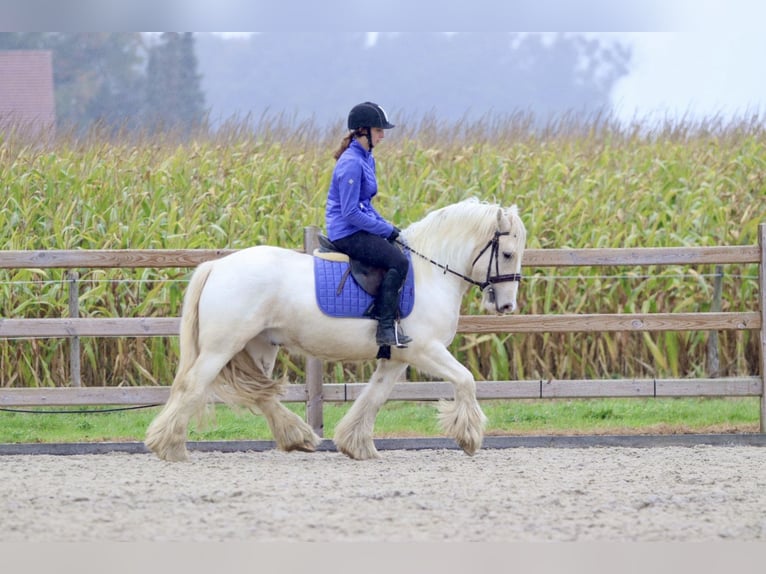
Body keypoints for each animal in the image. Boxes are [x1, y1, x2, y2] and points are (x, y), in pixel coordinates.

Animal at [144, 198, 528, 464]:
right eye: (508, 254)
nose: (507, 306)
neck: (430, 273)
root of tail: (217, 265)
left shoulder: (397, 357)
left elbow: (373, 397)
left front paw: (357, 445)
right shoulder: (426, 350)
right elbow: (465, 379)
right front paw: (469, 437)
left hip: (259, 347)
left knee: (260, 393)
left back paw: (297, 437)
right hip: (221, 346)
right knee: (194, 386)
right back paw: (170, 447)